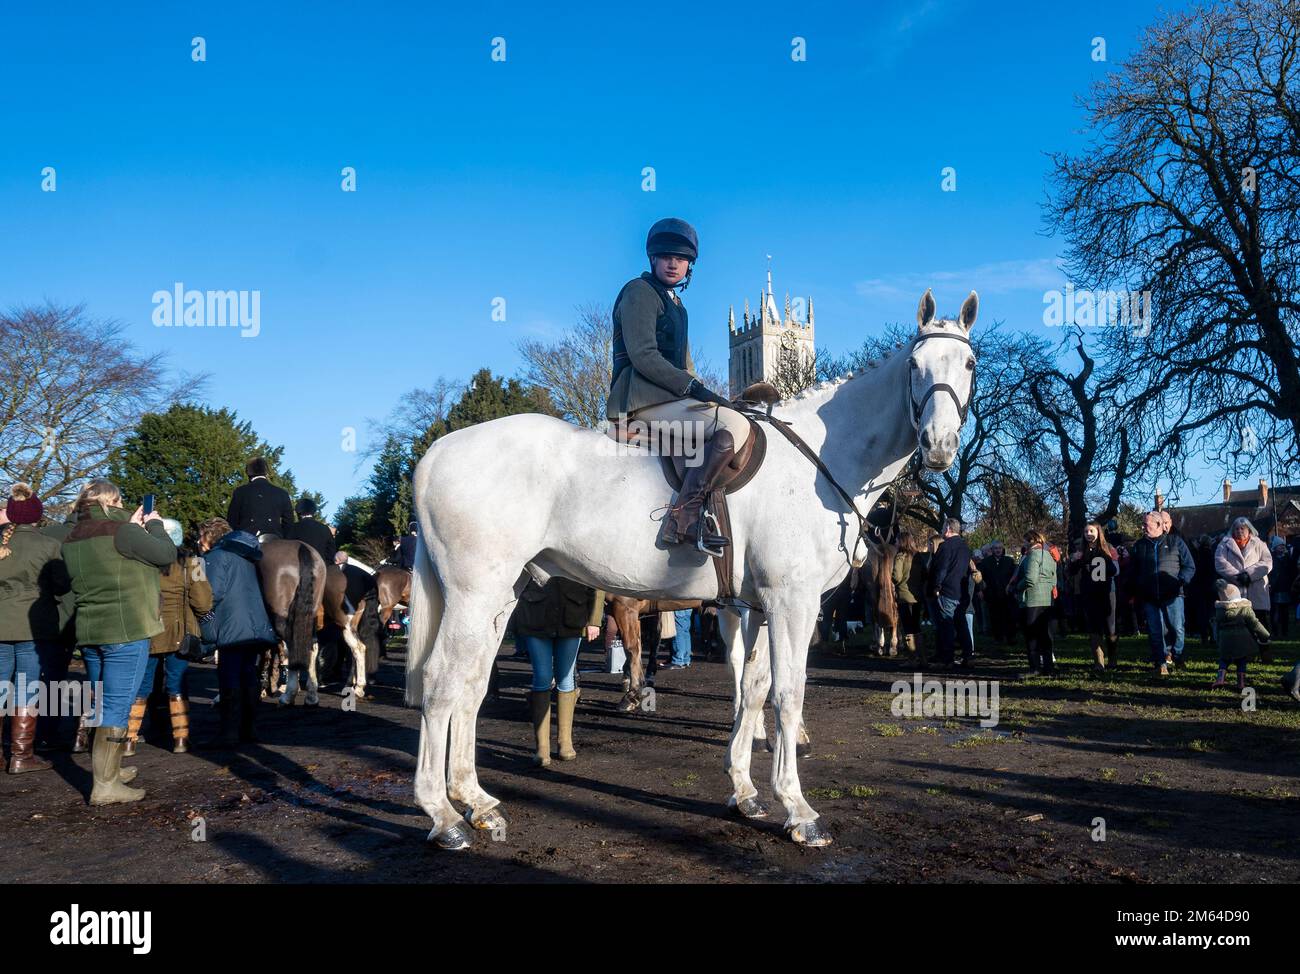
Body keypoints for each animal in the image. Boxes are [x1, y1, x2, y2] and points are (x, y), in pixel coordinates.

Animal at [405, 287, 977, 842]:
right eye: (915, 364)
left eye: (970, 363)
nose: (939, 445)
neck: (818, 460)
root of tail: (439, 449)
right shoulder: (792, 601)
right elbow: (788, 694)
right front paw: (798, 808)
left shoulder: (759, 606)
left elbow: (753, 689)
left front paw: (745, 790)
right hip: (474, 594)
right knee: (440, 683)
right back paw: (443, 815)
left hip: (502, 595)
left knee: (471, 687)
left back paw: (477, 802)